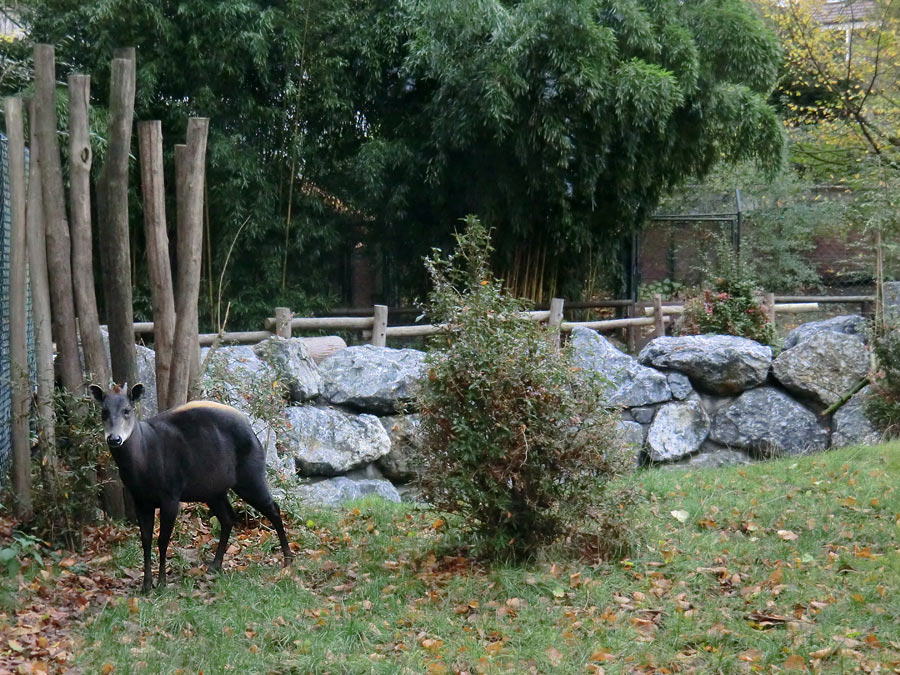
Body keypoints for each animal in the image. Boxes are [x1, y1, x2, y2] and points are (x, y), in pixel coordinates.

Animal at [89, 386, 292, 592]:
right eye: (104, 412)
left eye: (127, 410)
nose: (114, 438)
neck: (143, 456)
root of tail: (253, 433)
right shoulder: (140, 500)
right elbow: (145, 540)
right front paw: (146, 585)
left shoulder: (170, 496)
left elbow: (163, 540)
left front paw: (161, 583)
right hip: (214, 491)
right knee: (228, 518)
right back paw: (215, 565)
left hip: (250, 478)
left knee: (273, 509)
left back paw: (288, 560)